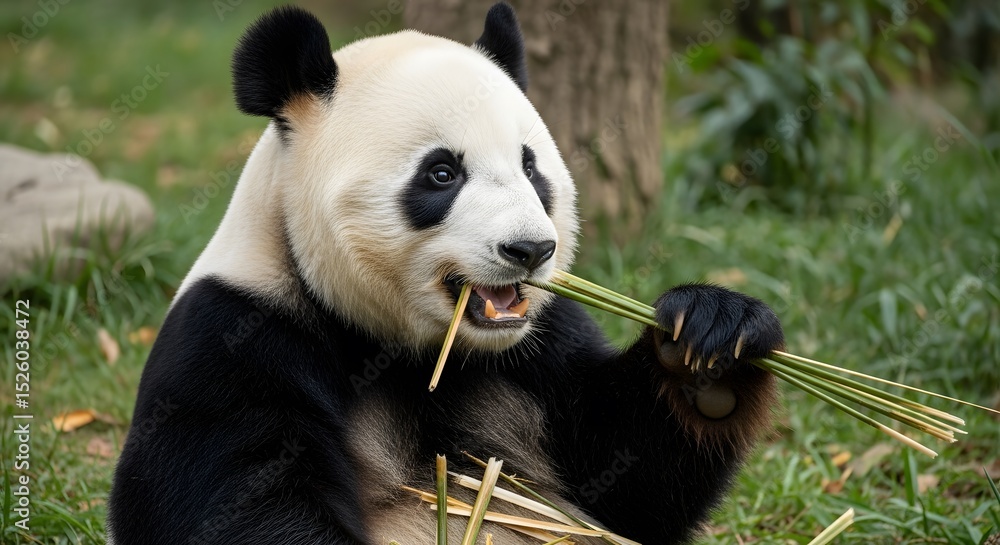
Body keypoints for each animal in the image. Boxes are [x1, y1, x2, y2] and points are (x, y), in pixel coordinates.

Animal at [108, 4, 784, 545]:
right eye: (441, 173)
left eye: (531, 167)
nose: (531, 249)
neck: (412, 352)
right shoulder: (235, 336)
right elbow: (232, 504)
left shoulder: (541, 345)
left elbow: (625, 481)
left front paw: (709, 344)